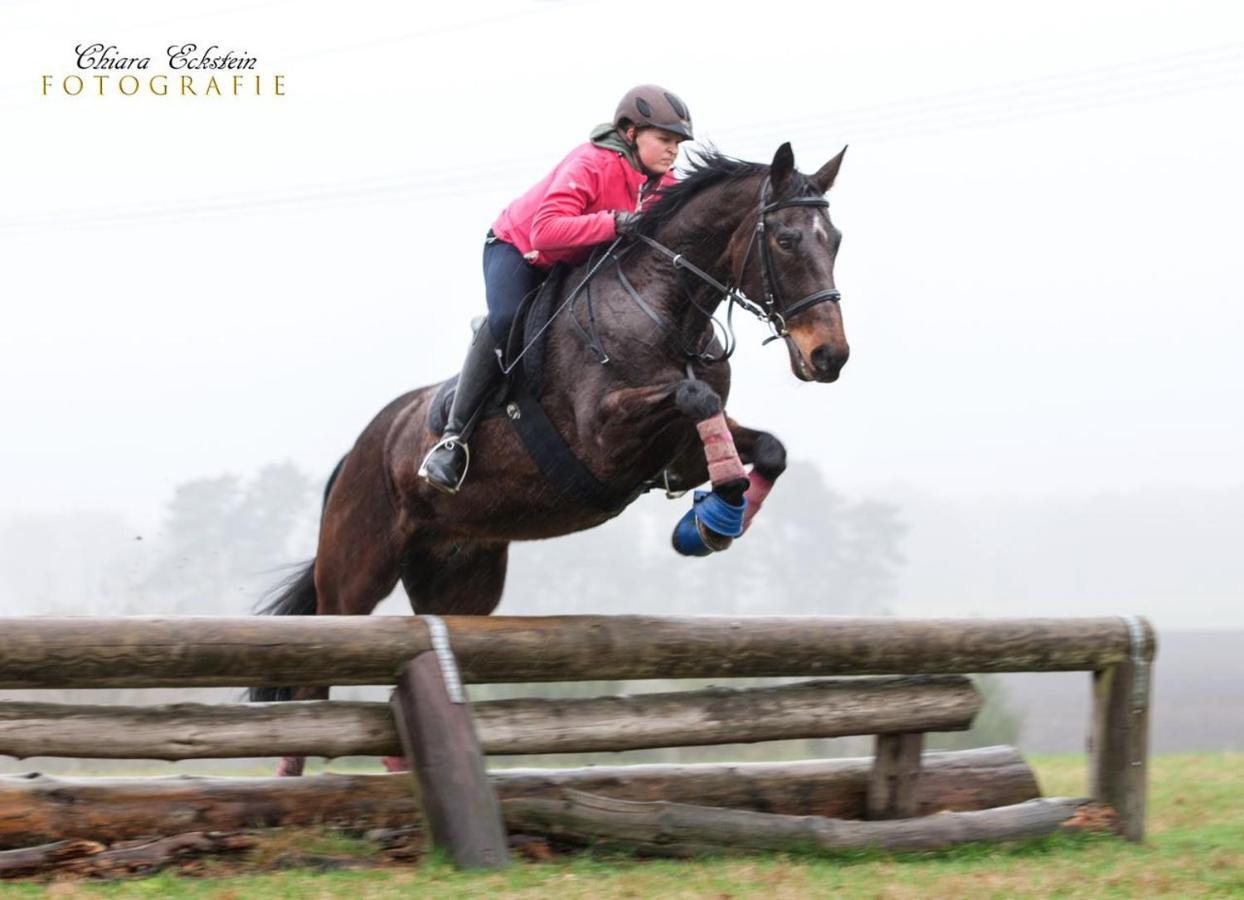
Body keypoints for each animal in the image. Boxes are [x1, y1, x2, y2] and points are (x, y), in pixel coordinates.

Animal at [247, 140, 850, 776]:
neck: (665, 312)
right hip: (355, 571)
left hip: (459, 578)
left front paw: (713, 522)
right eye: (785, 239)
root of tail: (357, 451)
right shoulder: (605, 440)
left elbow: (769, 450)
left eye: (834, 239)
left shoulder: (680, 454)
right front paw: (716, 510)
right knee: (316, 674)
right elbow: (696, 397)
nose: (829, 356)